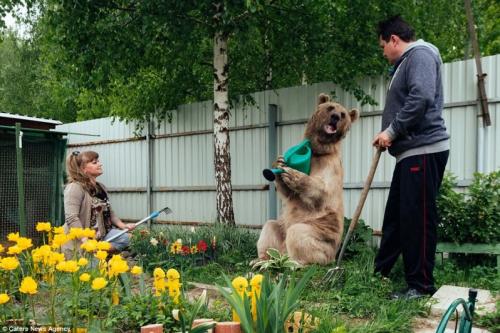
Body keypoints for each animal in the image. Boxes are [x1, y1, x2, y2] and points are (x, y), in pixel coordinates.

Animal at [256, 92, 358, 264]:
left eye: (343, 114)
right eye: (330, 107)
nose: (335, 117)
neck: (318, 150)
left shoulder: (330, 165)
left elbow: (323, 191)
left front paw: (294, 175)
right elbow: (288, 193)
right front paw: (279, 163)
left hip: (321, 235)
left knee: (299, 234)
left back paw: (296, 262)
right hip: (282, 229)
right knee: (270, 227)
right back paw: (261, 260)